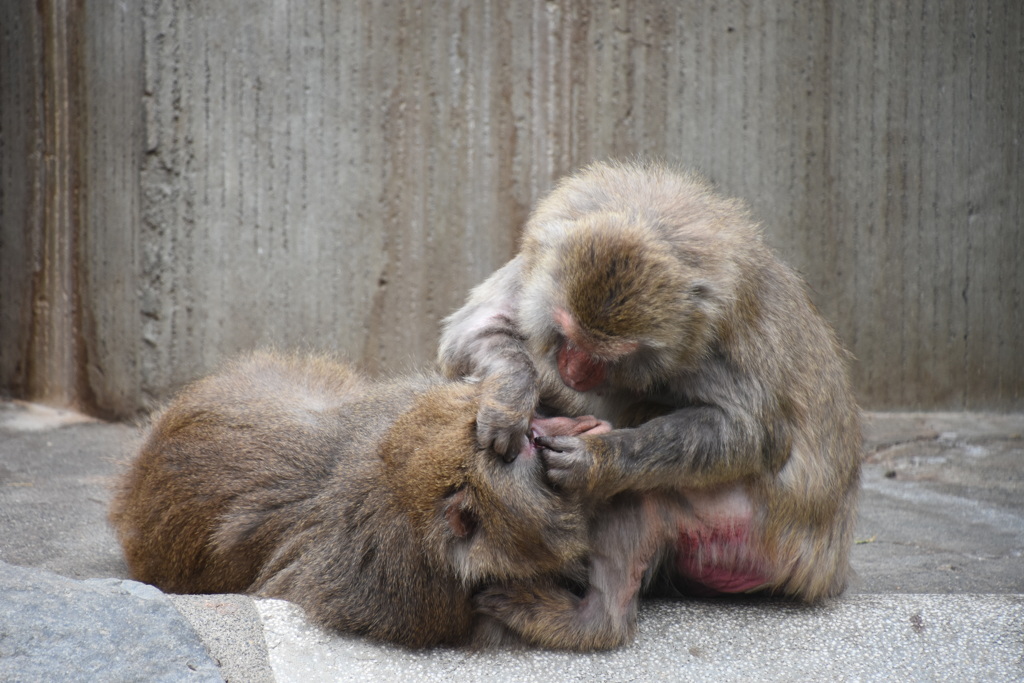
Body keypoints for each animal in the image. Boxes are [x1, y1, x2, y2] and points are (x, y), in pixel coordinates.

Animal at [110, 352, 606, 647]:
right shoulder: (417, 594)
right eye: (527, 446)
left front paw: (508, 389)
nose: (548, 426)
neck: (402, 492)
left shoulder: (404, 408)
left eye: (531, 432)